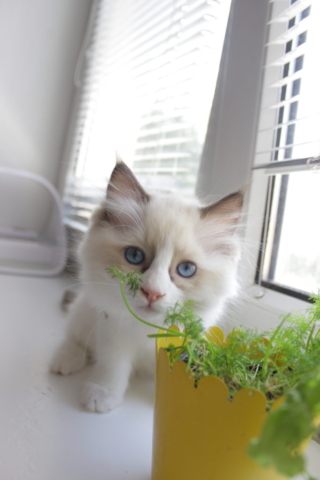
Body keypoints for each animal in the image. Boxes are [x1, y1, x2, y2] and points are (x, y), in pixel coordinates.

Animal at [51, 160, 244, 412]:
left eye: (186, 269)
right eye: (134, 256)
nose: (152, 293)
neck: (149, 328)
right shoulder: (113, 332)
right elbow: (112, 368)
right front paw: (102, 395)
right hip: (84, 313)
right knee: (74, 338)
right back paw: (65, 360)